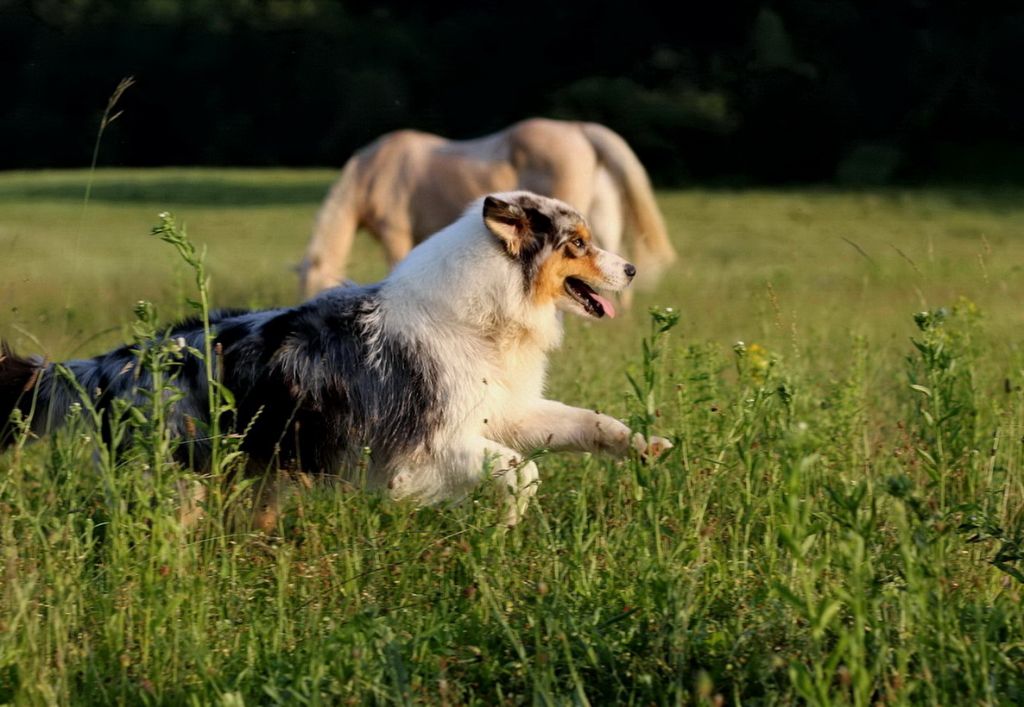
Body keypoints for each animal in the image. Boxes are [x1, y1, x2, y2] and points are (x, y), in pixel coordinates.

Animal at [0, 189, 671, 524]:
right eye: (578, 244)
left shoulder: (503, 411)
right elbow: (520, 471)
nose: (633, 270)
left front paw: (644, 446)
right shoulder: (424, 445)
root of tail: (105, 365)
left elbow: (588, 423)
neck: (483, 315)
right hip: (175, 481)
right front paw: (505, 524)